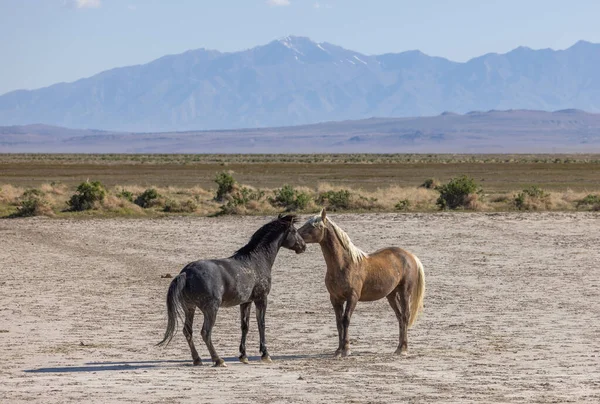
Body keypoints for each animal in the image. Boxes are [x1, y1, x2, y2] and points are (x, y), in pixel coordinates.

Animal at [157, 215, 304, 366]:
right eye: (294, 231)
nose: (303, 246)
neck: (257, 260)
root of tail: (186, 273)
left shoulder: (246, 302)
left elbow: (245, 326)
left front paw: (243, 356)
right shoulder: (261, 299)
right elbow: (261, 324)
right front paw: (265, 354)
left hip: (189, 308)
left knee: (187, 331)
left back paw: (197, 360)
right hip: (211, 309)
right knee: (205, 332)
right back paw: (218, 360)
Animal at [298, 210, 422, 356]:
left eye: (314, 226)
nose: (297, 237)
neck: (344, 264)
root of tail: (410, 256)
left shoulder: (353, 297)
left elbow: (346, 320)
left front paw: (346, 349)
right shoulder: (335, 299)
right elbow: (338, 322)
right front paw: (338, 350)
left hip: (404, 292)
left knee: (406, 316)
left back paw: (403, 349)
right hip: (391, 295)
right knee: (400, 317)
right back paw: (398, 348)